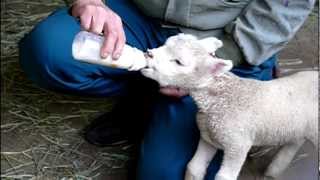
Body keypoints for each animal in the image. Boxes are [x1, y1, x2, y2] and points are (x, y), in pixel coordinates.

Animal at [141, 33, 318, 180]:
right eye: (165, 44)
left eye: (179, 62)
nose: (149, 54)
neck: (219, 100)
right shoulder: (208, 137)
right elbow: (194, 168)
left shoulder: (238, 144)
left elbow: (224, 177)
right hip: (299, 126)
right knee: (296, 141)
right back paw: (274, 170)